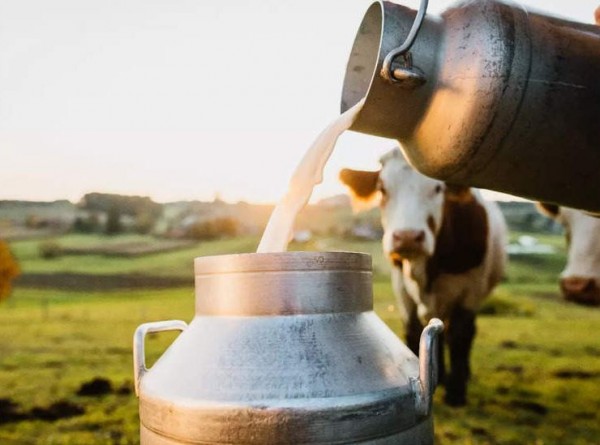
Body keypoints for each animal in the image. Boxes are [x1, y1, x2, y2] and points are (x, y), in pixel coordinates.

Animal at [340, 147, 504, 404]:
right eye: (382, 189)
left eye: (437, 189)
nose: (407, 237)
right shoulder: (401, 287)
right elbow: (413, 330)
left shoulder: (471, 289)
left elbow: (460, 334)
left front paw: (456, 392)